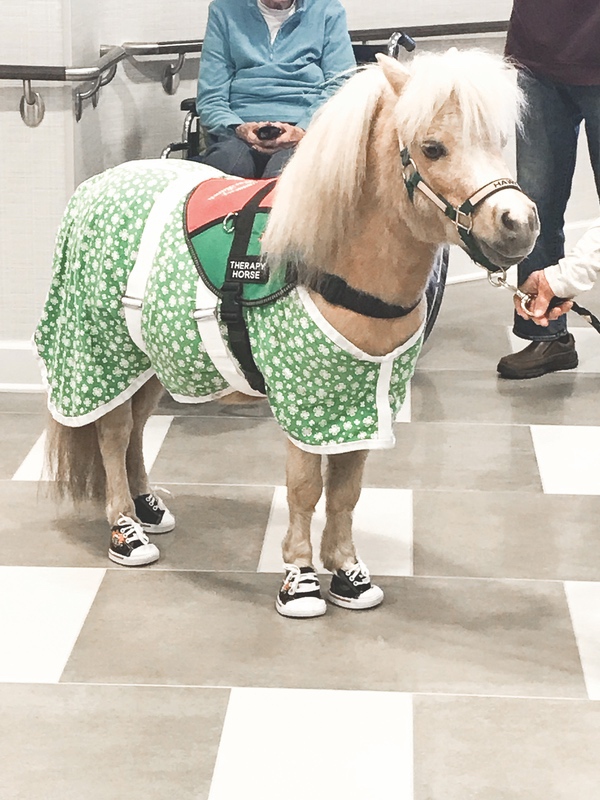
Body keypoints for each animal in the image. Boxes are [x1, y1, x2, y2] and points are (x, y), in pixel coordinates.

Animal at [34, 50, 540, 620]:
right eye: (432, 148)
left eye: (497, 140)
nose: (519, 223)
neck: (330, 266)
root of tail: (95, 186)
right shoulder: (305, 403)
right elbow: (303, 490)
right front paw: (299, 578)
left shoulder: (360, 405)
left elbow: (345, 492)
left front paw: (347, 573)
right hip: (102, 351)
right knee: (113, 432)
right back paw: (125, 528)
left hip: (150, 360)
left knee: (138, 429)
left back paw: (148, 507)